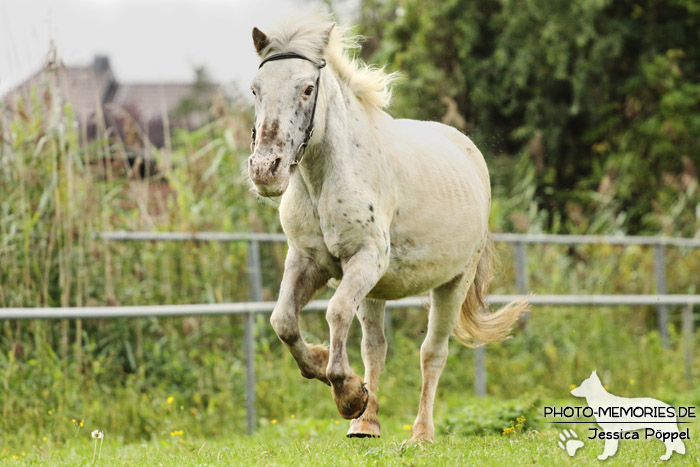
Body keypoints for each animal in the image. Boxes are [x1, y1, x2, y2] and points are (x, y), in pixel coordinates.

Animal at [249, 11, 528, 442]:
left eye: (307, 88)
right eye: (255, 90)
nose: (266, 170)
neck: (327, 177)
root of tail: (468, 152)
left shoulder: (366, 259)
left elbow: (335, 313)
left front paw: (346, 392)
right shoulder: (307, 262)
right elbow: (283, 321)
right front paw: (330, 371)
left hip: (452, 282)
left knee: (432, 352)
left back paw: (421, 434)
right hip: (375, 291)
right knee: (375, 349)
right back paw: (366, 423)